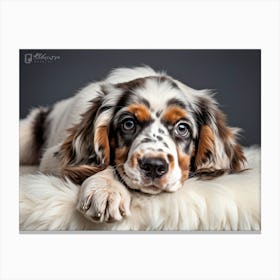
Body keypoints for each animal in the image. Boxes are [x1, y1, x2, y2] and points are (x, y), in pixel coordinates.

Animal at [19, 65, 245, 223]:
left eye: (182, 128)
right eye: (129, 124)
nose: (154, 166)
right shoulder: (52, 158)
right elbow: (110, 164)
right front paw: (106, 190)